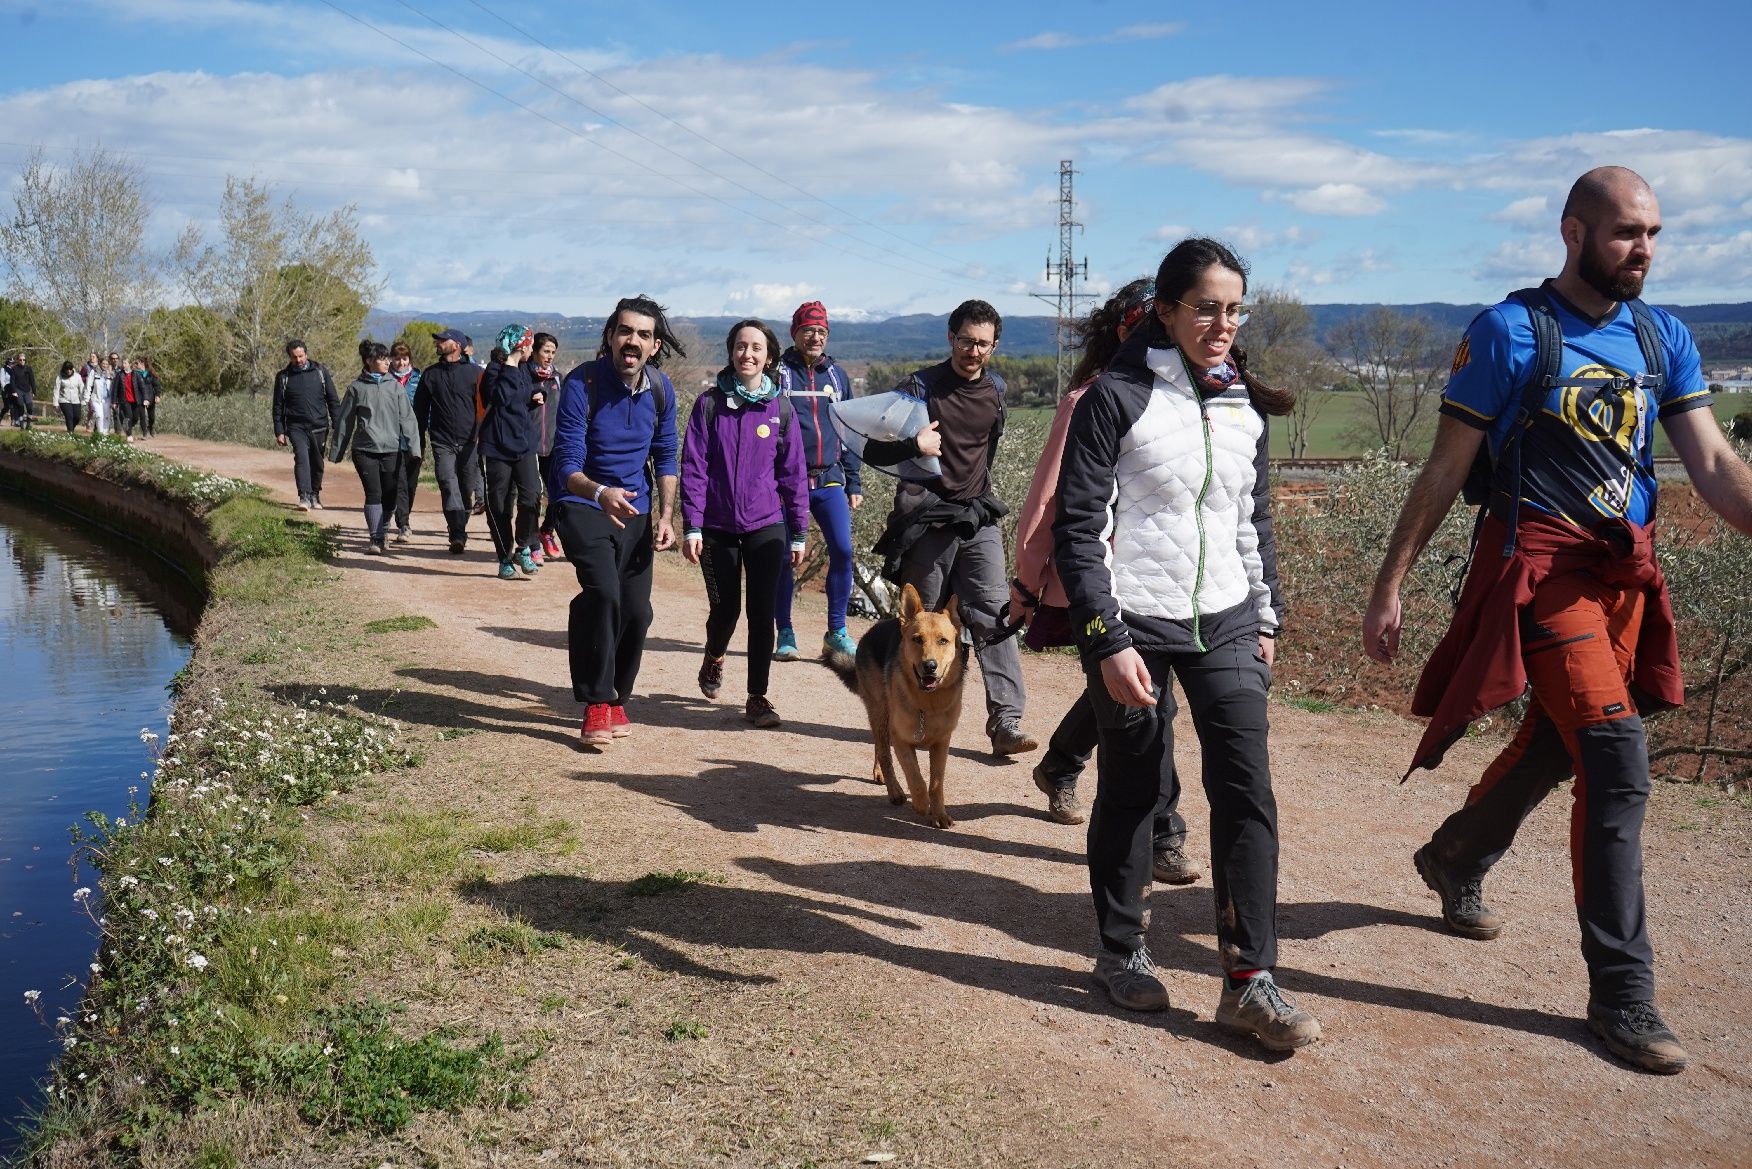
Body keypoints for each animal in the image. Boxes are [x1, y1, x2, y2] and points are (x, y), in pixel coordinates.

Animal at [823, 581, 967, 827]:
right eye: (917, 639)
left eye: (943, 641)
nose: (930, 666)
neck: (928, 703)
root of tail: (873, 630)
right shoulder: (902, 740)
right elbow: (916, 778)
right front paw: (921, 804)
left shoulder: (942, 744)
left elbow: (936, 784)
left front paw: (939, 814)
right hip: (880, 711)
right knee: (883, 752)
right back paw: (894, 790)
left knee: (879, 747)